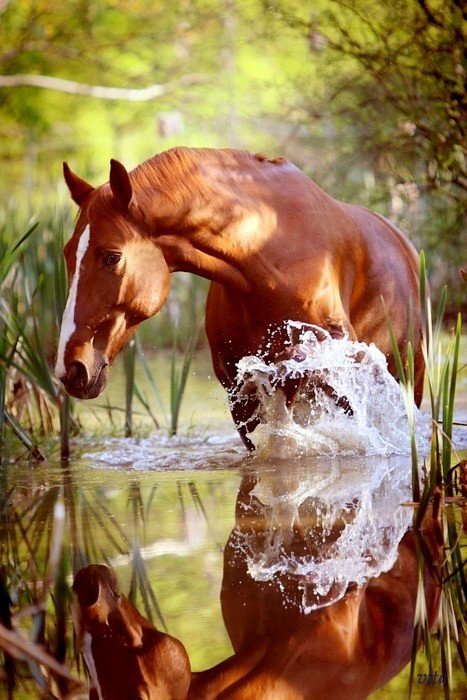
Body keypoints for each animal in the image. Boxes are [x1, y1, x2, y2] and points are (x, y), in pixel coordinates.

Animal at [55, 148, 423, 446]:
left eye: (112, 257)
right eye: (67, 253)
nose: (70, 368)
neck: (266, 260)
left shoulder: (338, 352)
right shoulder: (239, 402)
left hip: (410, 377)